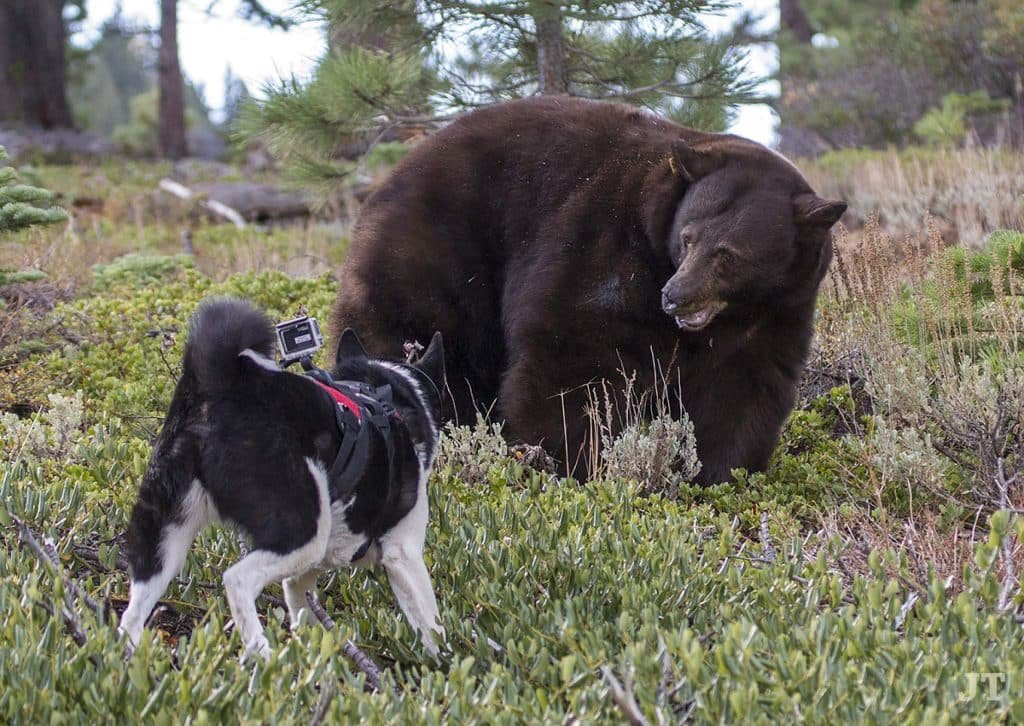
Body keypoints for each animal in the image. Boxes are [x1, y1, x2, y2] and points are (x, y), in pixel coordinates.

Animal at [117, 296, 444, 659]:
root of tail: (221, 383)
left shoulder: (305, 573)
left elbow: (303, 614)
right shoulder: (403, 553)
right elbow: (433, 627)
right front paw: (445, 662)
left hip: (165, 537)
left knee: (131, 615)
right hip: (302, 531)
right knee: (236, 580)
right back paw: (262, 656)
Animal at [329, 94, 847, 481]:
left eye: (729, 255)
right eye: (688, 237)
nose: (674, 296)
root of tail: (384, 183)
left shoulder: (778, 313)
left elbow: (743, 391)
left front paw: (720, 475)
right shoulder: (602, 248)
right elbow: (574, 357)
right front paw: (575, 460)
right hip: (434, 257)